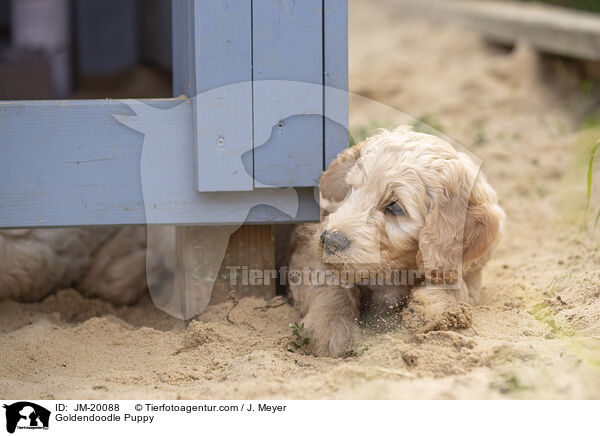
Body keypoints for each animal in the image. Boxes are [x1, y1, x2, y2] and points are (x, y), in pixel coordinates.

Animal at [288, 124, 504, 356]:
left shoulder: (472, 272)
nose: (330, 240)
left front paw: (430, 306)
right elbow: (329, 284)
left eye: (395, 207)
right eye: (352, 190)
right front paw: (330, 328)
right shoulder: (307, 249)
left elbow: (460, 286)